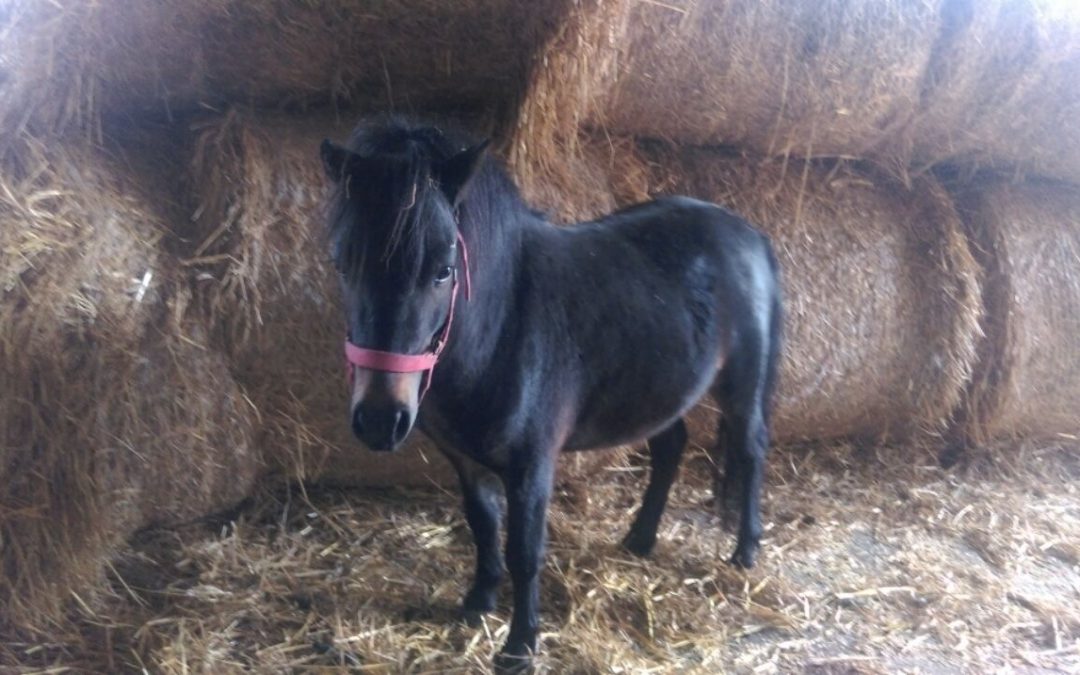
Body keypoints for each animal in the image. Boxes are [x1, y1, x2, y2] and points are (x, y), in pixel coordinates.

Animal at [319, 120, 786, 669]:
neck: (502, 326)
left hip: (742, 385)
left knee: (750, 450)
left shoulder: (531, 466)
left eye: (443, 269)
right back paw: (639, 539)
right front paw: (478, 602)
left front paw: (520, 646)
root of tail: (748, 233)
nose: (379, 419)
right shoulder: (467, 461)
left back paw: (745, 551)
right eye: (343, 264)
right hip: (658, 389)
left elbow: (525, 551)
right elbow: (482, 525)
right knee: (670, 447)